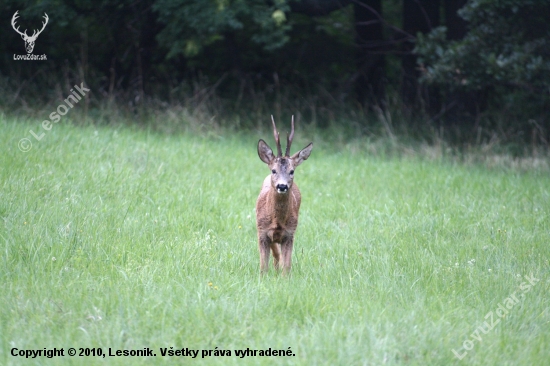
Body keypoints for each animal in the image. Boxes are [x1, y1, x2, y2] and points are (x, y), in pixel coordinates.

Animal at [256, 116, 312, 274]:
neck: (277, 222)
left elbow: (287, 266)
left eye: (292, 171)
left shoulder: (289, 234)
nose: (282, 186)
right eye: (273, 170)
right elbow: (263, 267)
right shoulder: (262, 232)